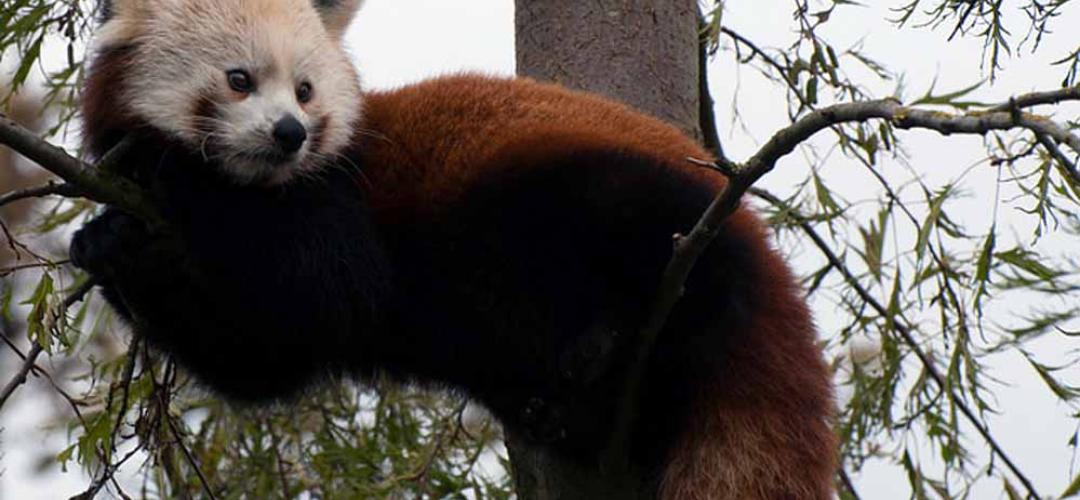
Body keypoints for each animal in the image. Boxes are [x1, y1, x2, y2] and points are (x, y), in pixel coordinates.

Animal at [71, 0, 838, 496]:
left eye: (306, 90)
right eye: (239, 79)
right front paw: (108, 242)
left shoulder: (341, 200)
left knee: (667, 262)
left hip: (611, 200)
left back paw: (604, 345)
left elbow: (326, 288)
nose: (290, 133)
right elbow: (264, 354)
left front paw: (170, 170)